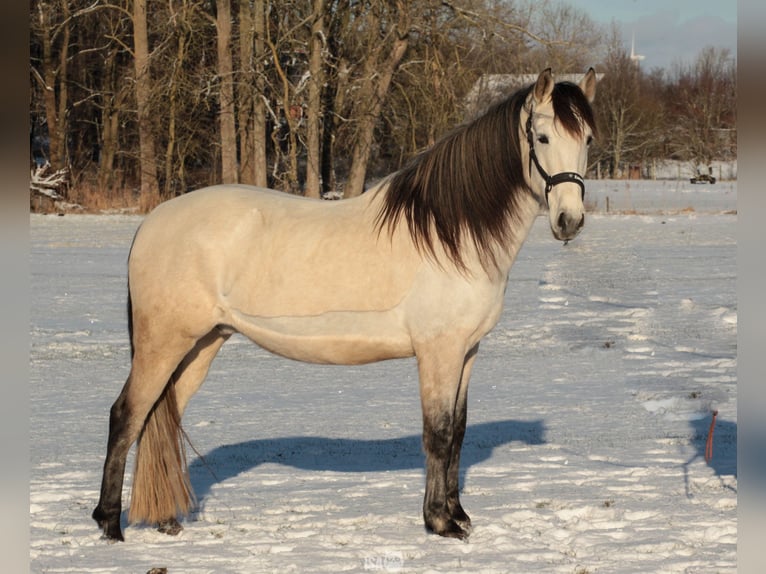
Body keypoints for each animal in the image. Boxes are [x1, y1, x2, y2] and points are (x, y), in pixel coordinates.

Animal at [93, 68, 597, 542]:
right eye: (542, 136)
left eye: (588, 139)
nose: (569, 221)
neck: (449, 236)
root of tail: (151, 224)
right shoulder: (439, 352)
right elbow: (437, 434)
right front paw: (440, 522)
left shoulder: (467, 352)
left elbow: (457, 432)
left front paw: (458, 515)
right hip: (165, 343)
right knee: (127, 416)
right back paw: (110, 525)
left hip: (202, 344)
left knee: (161, 416)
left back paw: (166, 521)